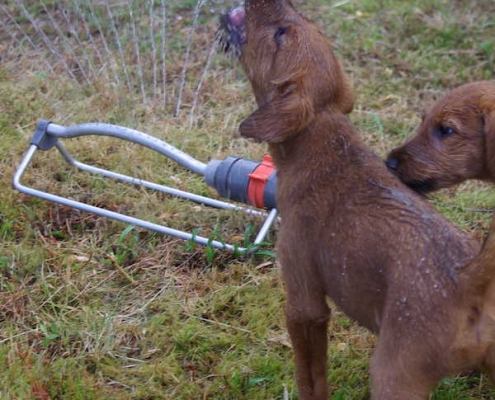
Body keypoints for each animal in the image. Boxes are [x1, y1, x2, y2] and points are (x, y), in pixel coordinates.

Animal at [220, 1, 492, 398]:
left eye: (281, 33)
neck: (324, 137)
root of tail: (470, 280)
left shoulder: (303, 302)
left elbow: (311, 376)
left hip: (393, 376)